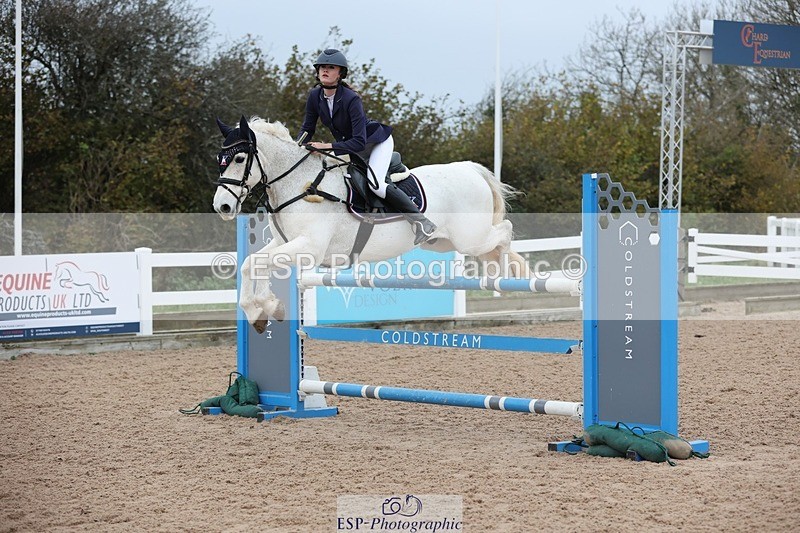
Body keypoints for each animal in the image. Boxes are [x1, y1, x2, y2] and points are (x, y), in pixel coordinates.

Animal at [212, 116, 529, 333]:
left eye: (239, 158)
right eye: (220, 159)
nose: (222, 207)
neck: (299, 184)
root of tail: (470, 169)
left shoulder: (309, 248)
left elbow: (256, 264)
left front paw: (265, 307)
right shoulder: (284, 243)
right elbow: (252, 263)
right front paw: (263, 311)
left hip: (469, 238)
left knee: (504, 232)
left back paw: (505, 277)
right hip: (443, 243)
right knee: (493, 243)